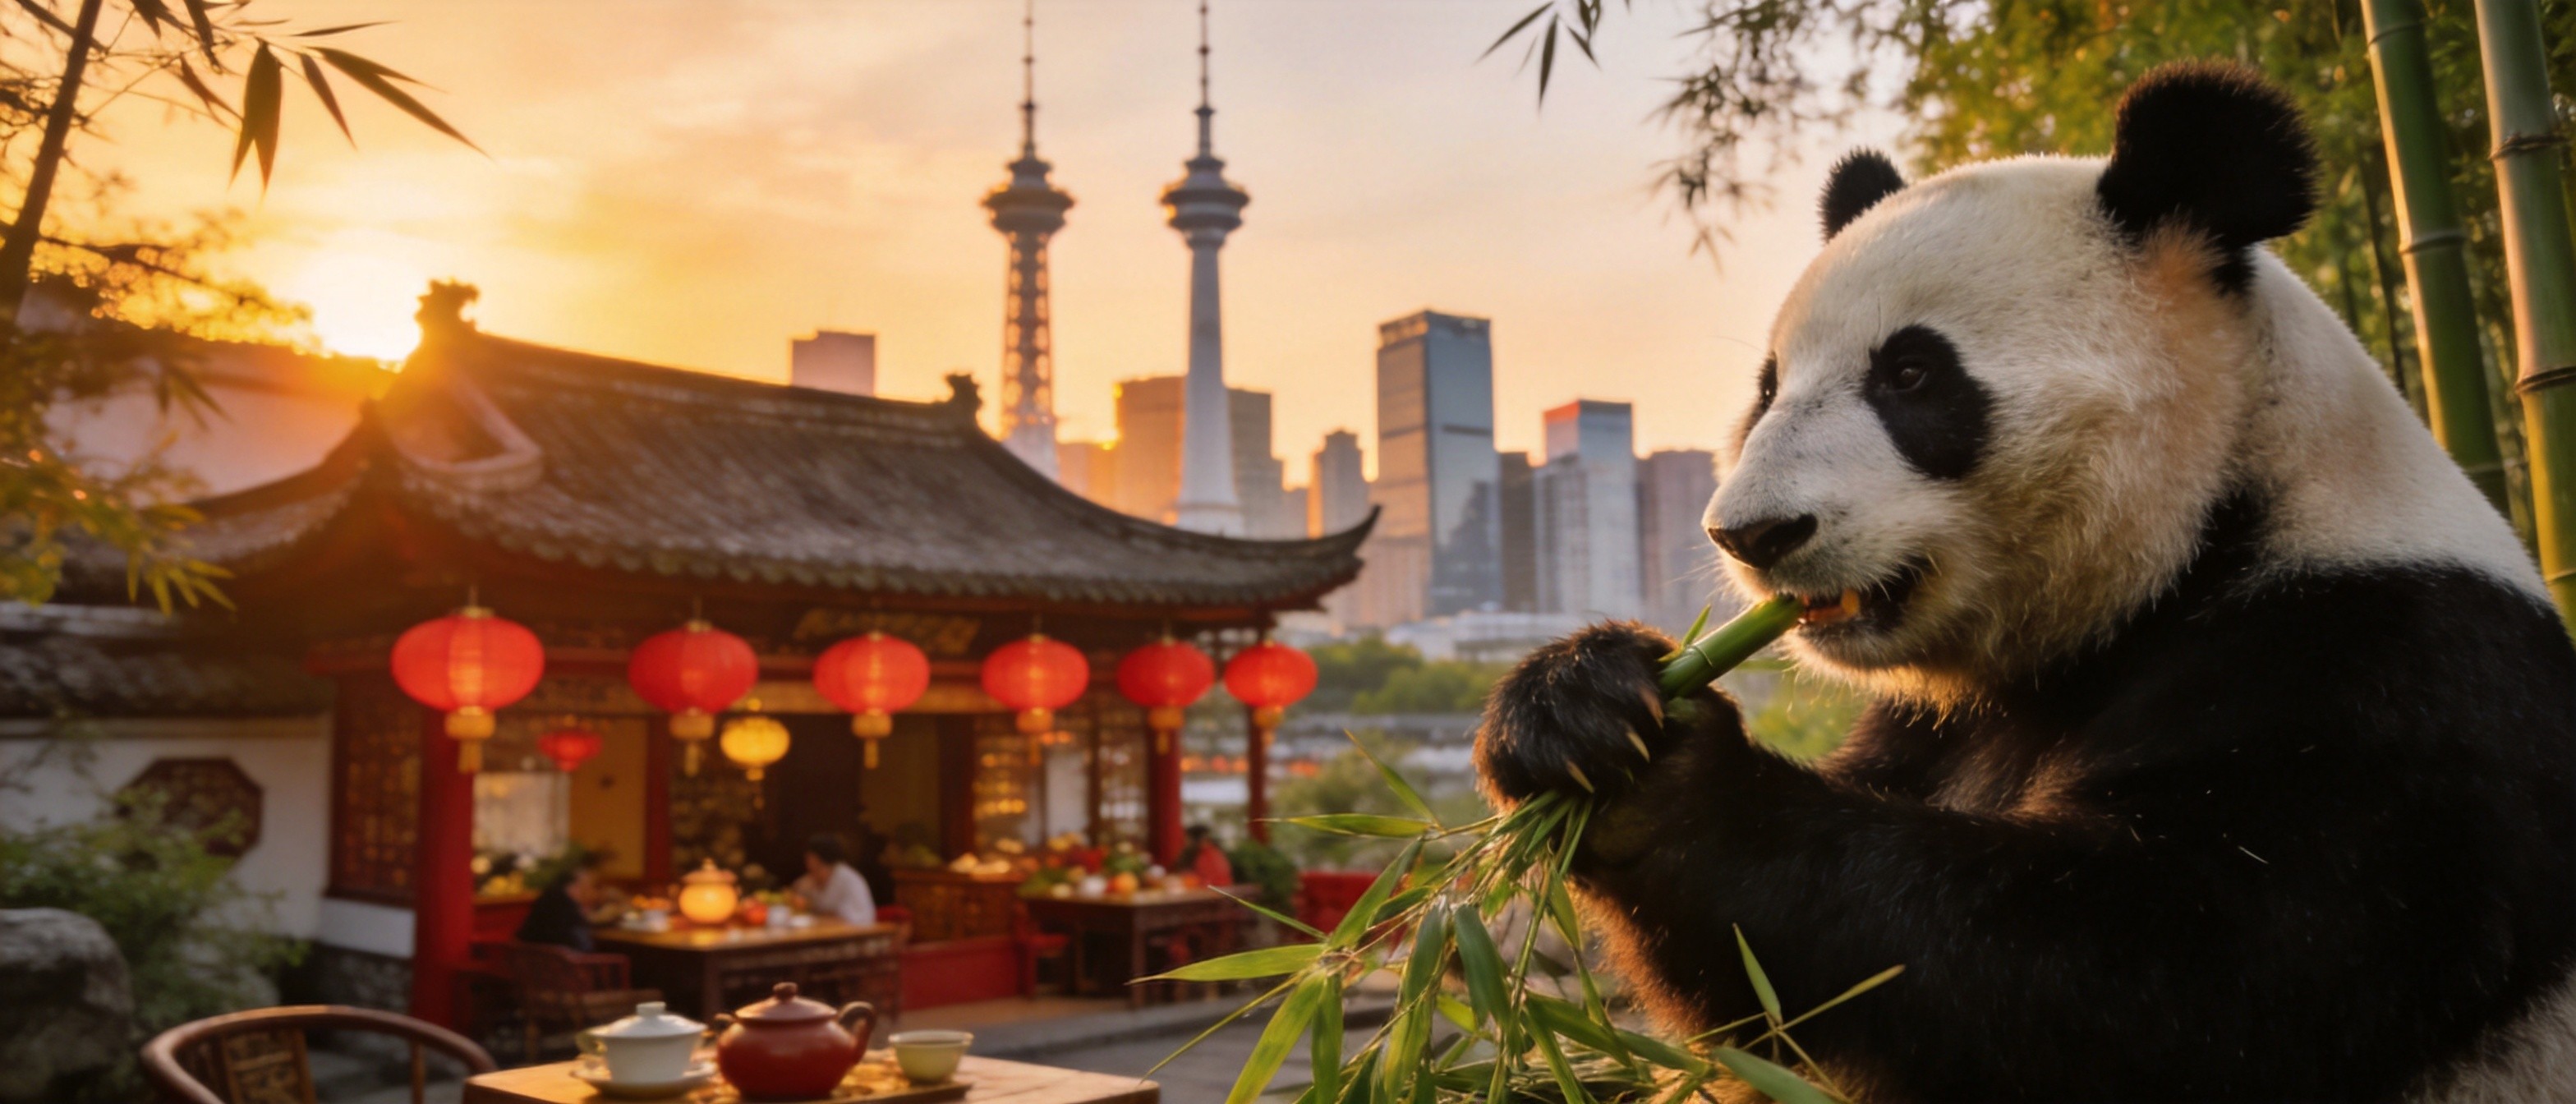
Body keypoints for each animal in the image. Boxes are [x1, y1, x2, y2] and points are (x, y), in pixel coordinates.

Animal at [1474, 62, 2576, 1102]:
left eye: (1910, 375)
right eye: (1769, 387)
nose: (1753, 533)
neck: (2211, 533)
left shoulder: (2389, 686)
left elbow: (2154, 979)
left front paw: (1675, 781)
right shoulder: (1931, 729)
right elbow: (1768, 1015)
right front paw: (1577, 709)